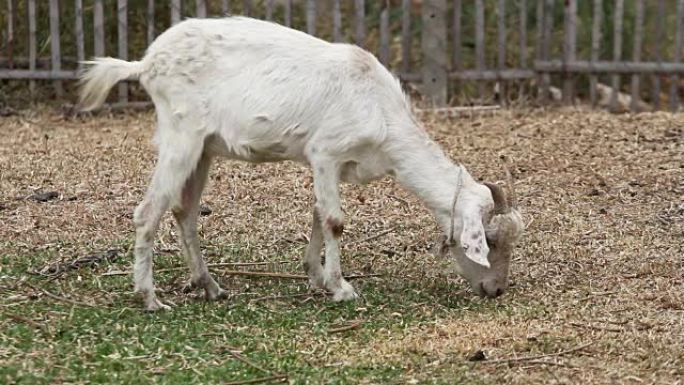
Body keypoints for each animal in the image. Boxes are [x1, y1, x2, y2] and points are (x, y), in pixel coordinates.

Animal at [79, 16, 524, 310]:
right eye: (490, 239)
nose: (496, 289)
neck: (379, 109)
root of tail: (146, 63)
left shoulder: (334, 165)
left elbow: (317, 213)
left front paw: (315, 278)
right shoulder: (325, 152)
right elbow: (335, 220)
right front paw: (342, 288)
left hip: (203, 148)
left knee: (184, 211)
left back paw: (211, 287)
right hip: (180, 136)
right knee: (147, 211)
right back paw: (150, 298)